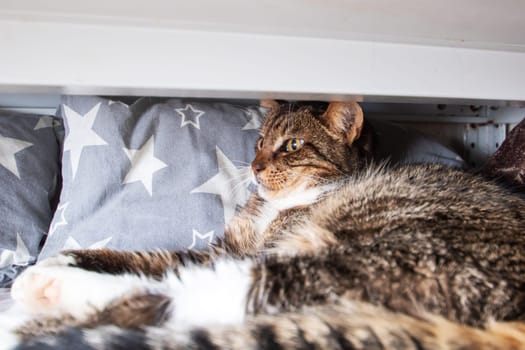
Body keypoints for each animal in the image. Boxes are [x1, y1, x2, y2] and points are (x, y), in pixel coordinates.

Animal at [1, 102, 524, 350]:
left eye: (291, 146)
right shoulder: (223, 247)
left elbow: (168, 269)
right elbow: (150, 256)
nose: (253, 167)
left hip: (397, 256)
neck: (279, 204)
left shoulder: (254, 249)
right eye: (258, 141)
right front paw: (66, 256)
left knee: (207, 294)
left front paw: (58, 274)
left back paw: (51, 296)